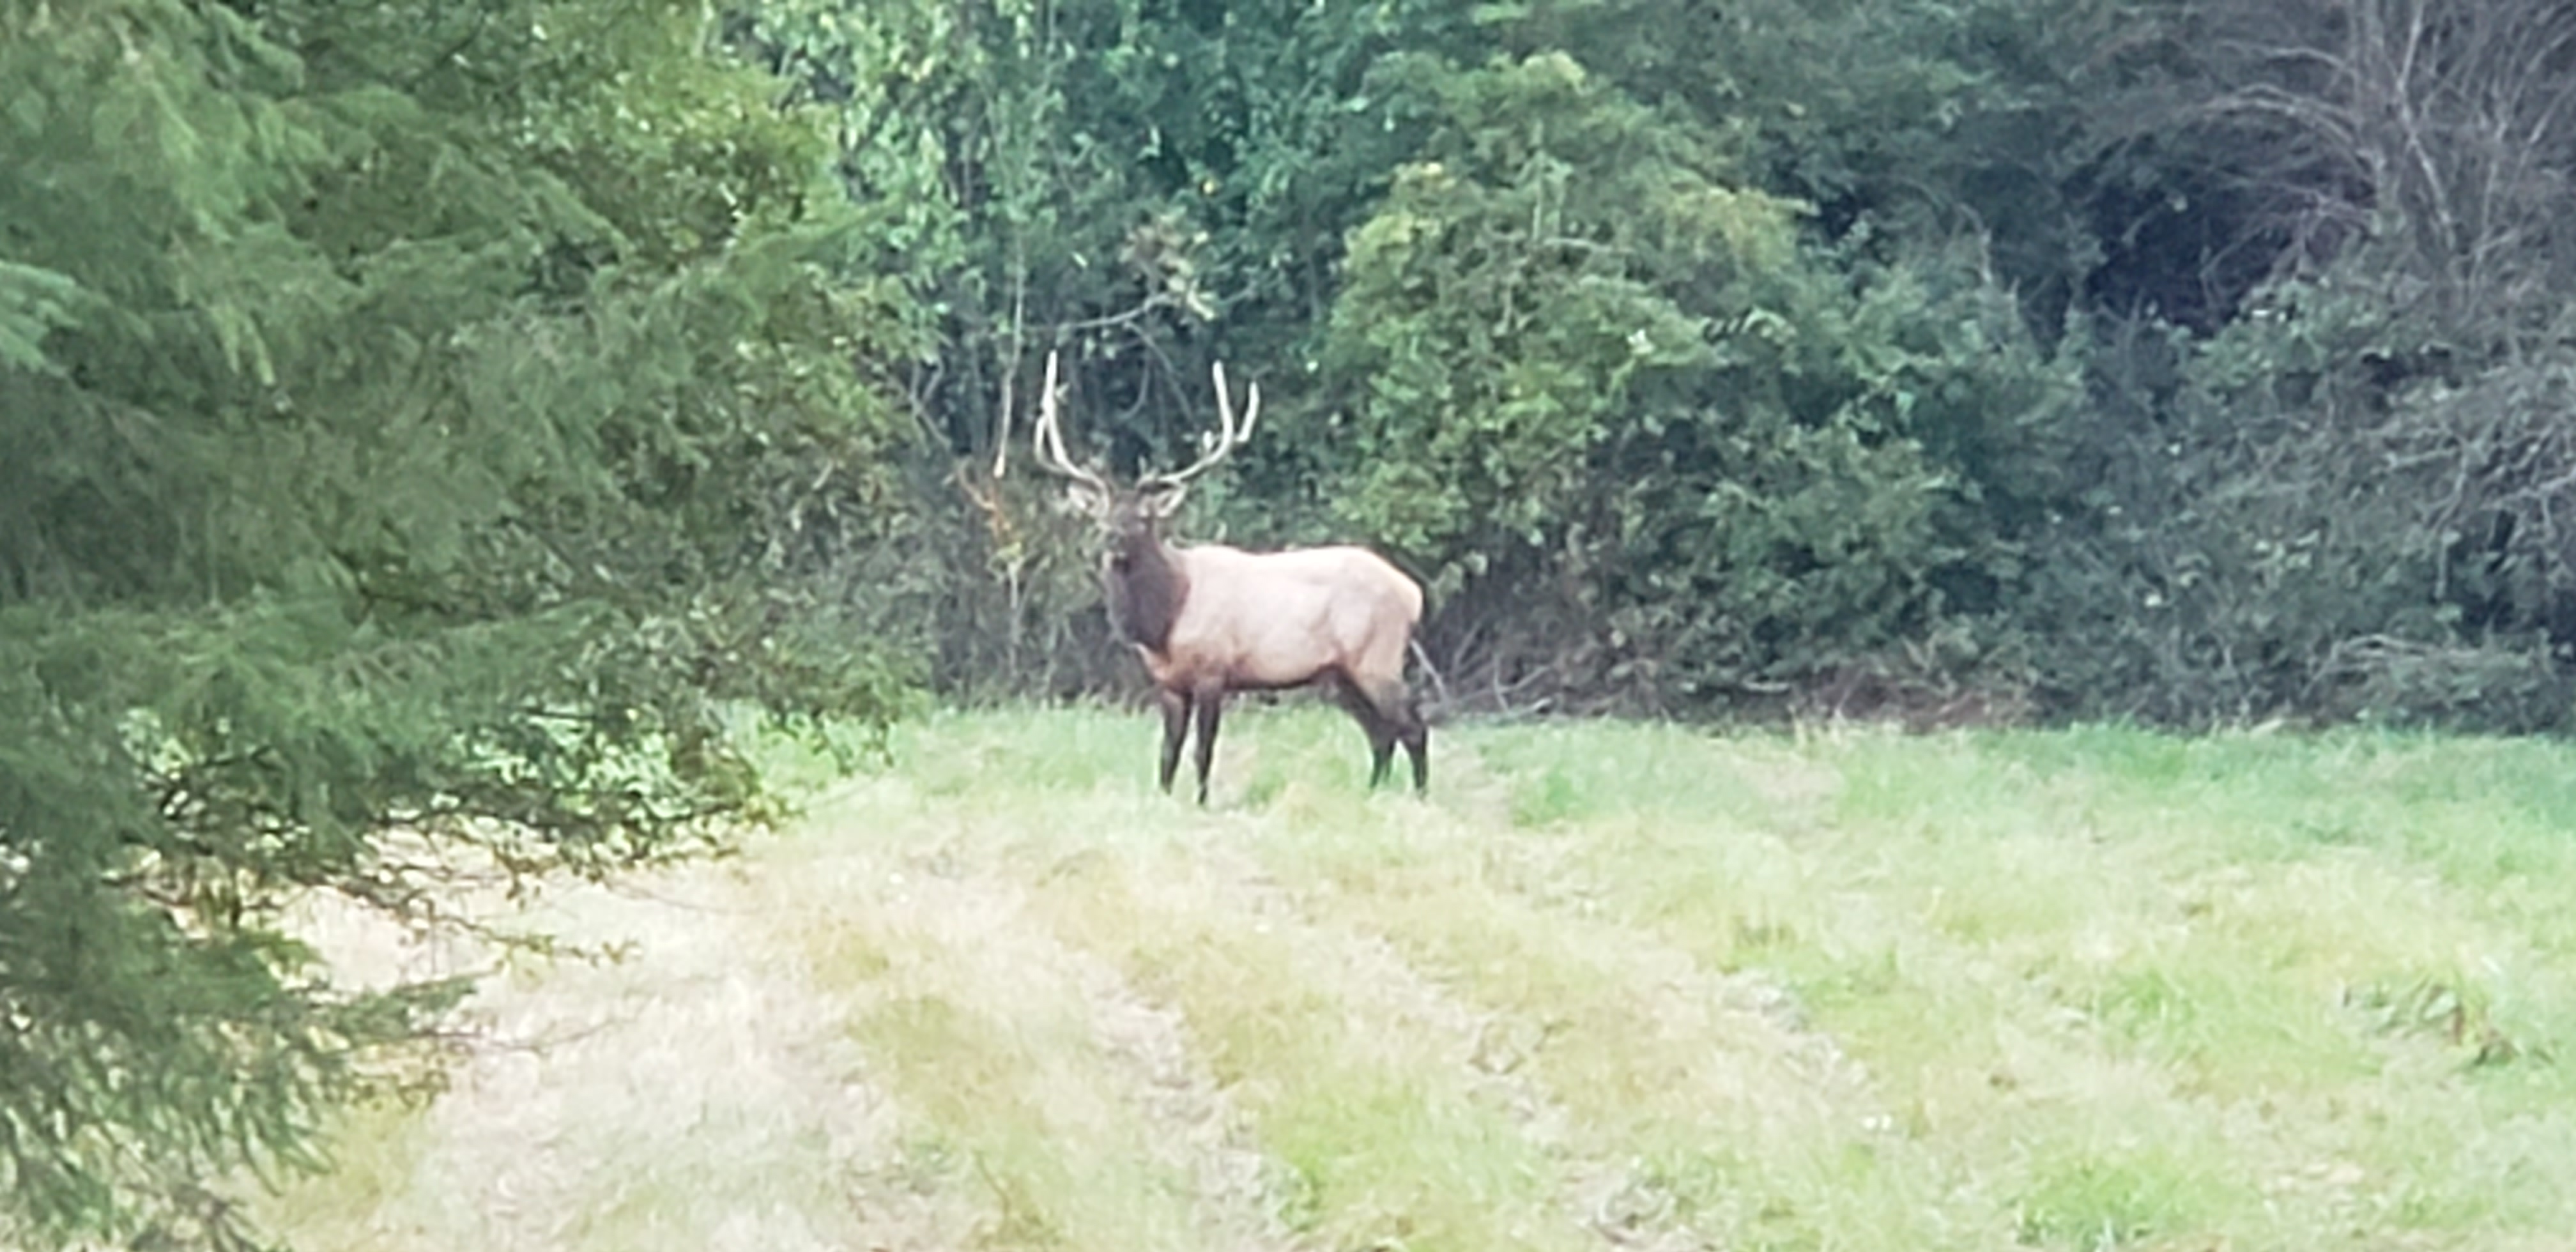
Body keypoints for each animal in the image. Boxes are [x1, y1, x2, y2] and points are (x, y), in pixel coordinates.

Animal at [1022, 349, 1429, 803]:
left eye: (1143, 518)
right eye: (1102, 516)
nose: (1112, 541)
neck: (1165, 621)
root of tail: (1413, 593)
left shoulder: (1213, 670)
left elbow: (1203, 751)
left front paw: (1202, 802)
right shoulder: (1168, 683)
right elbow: (1167, 753)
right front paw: (1164, 799)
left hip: (1378, 655)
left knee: (1413, 726)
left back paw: (1420, 796)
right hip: (1340, 674)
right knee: (1381, 733)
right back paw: (1371, 793)